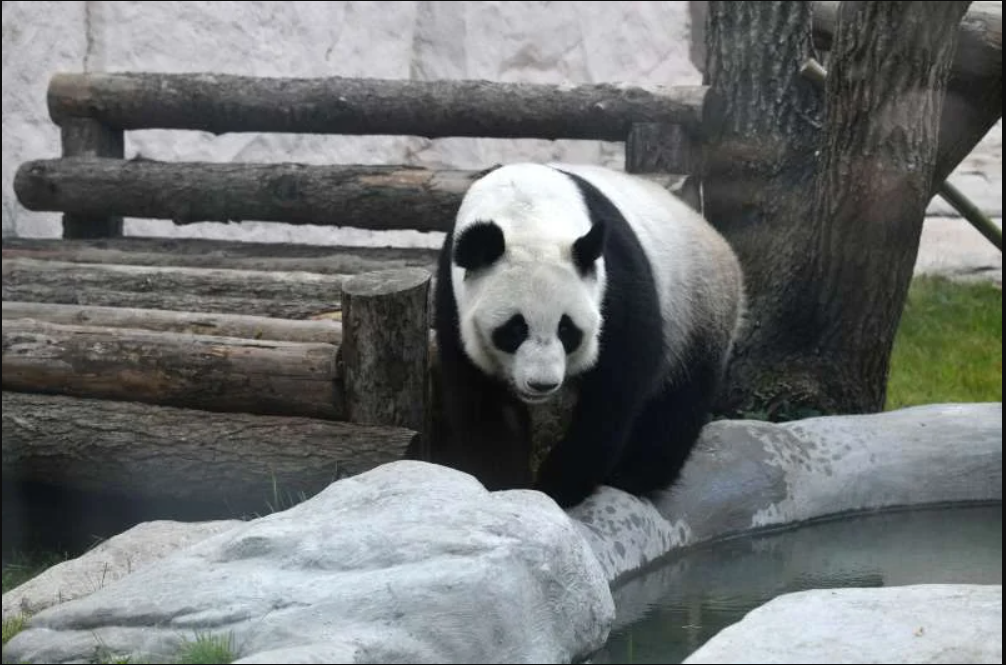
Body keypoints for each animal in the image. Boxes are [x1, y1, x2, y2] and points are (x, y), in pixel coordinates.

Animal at [432, 161, 748, 509]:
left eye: (566, 328)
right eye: (515, 329)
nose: (542, 384)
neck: (525, 211)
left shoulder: (613, 285)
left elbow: (615, 388)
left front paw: (558, 486)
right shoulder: (452, 300)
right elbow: (482, 396)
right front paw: (505, 485)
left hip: (696, 311)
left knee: (676, 404)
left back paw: (635, 476)